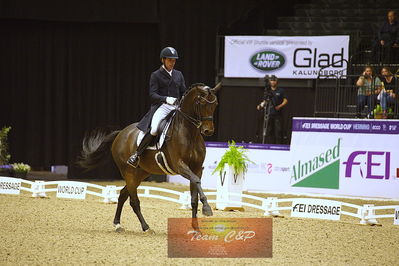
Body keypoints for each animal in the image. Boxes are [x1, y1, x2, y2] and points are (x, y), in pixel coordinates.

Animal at [77, 82, 222, 233]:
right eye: (202, 103)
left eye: (215, 104)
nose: (208, 131)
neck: (190, 134)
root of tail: (121, 133)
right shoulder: (180, 165)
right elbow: (197, 181)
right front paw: (207, 208)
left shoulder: (197, 168)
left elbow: (194, 197)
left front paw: (196, 229)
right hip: (128, 172)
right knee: (133, 201)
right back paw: (145, 227)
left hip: (140, 173)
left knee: (123, 194)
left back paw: (118, 224)